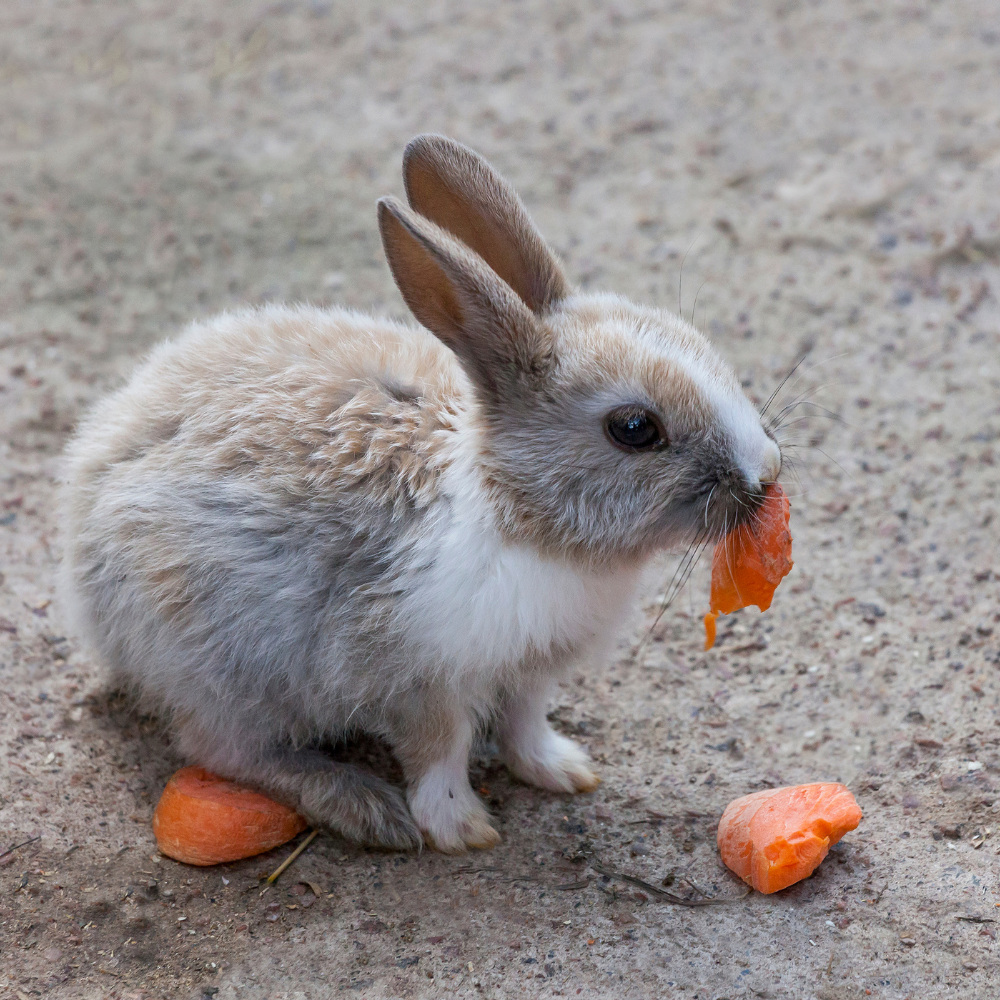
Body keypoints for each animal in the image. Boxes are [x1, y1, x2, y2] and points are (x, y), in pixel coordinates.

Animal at [58, 133, 784, 852]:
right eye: (635, 428)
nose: (767, 475)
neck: (517, 509)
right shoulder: (416, 676)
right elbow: (440, 752)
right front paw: (460, 829)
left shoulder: (530, 670)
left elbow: (524, 723)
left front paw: (563, 771)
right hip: (222, 665)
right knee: (223, 750)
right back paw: (361, 806)